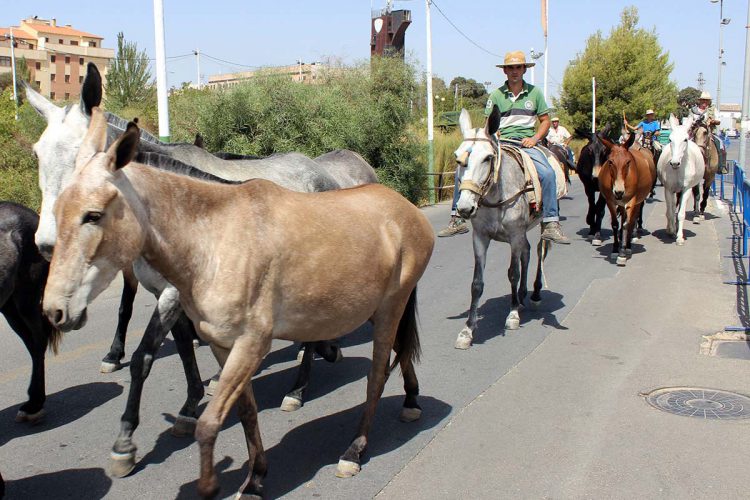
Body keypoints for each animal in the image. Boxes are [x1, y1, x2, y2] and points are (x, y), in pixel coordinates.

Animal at [44, 107, 438, 498]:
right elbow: (244, 411)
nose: (54, 310)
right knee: (398, 348)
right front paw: (256, 478)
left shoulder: (250, 343)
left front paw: (206, 482)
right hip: (369, 306)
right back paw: (407, 398)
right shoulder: (223, 344)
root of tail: (405, 208)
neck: (213, 240)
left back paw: (352, 448)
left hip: (389, 307)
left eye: (93, 215)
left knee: (377, 375)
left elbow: (206, 421)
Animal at [600, 133, 656, 266]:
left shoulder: (632, 201)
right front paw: (615, 250)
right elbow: (615, 224)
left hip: (638, 201)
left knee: (632, 221)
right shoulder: (610, 201)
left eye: (628, 162)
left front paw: (622, 253)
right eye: (610, 162)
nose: (619, 191)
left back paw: (629, 246)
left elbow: (627, 224)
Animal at [660, 114, 708, 246]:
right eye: (670, 139)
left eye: (685, 139)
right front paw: (671, 230)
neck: (678, 170)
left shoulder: (686, 189)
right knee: (671, 208)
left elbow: (681, 214)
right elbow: (670, 211)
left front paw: (679, 237)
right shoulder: (668, 189)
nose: (674, 163)